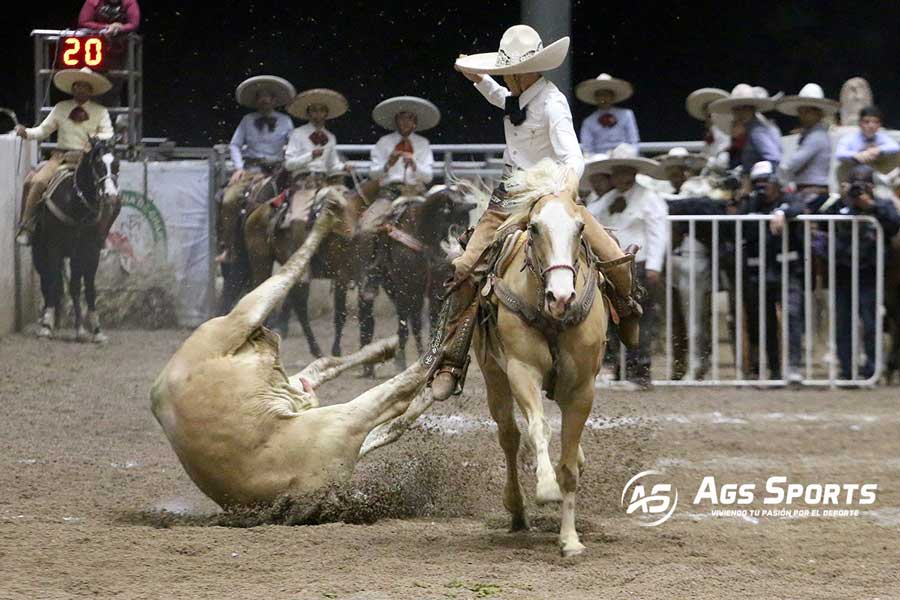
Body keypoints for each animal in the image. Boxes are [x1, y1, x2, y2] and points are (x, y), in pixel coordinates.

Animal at [31, 137, 119, 342]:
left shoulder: (88, 251)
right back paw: (47, 320)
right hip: (39, 251)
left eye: (116, 164)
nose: (111, 195)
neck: (76, 205)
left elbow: (85, 287)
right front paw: (46, 326)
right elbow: (53, 282)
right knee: (47, 280)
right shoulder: (53, 247)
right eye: (98, 164)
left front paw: (92, 329)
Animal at [150, 190, 432, 508]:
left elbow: (323, 363)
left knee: (383, 411)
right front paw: (327, 214)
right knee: (394, 399)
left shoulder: (279, 378)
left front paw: (383, 347)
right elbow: (287, 274)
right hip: (341, 422)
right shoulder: (239, 319)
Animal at [468, 161, 608, 556]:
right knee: (510, 436)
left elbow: (569, 467)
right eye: (534, 227)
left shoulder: (581, 388)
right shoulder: (522, 371)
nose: (561, 297)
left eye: (580, 227)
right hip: (494, 376)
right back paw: (517, 510)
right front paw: (546, 488)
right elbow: (539, 428)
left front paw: (570, 539)